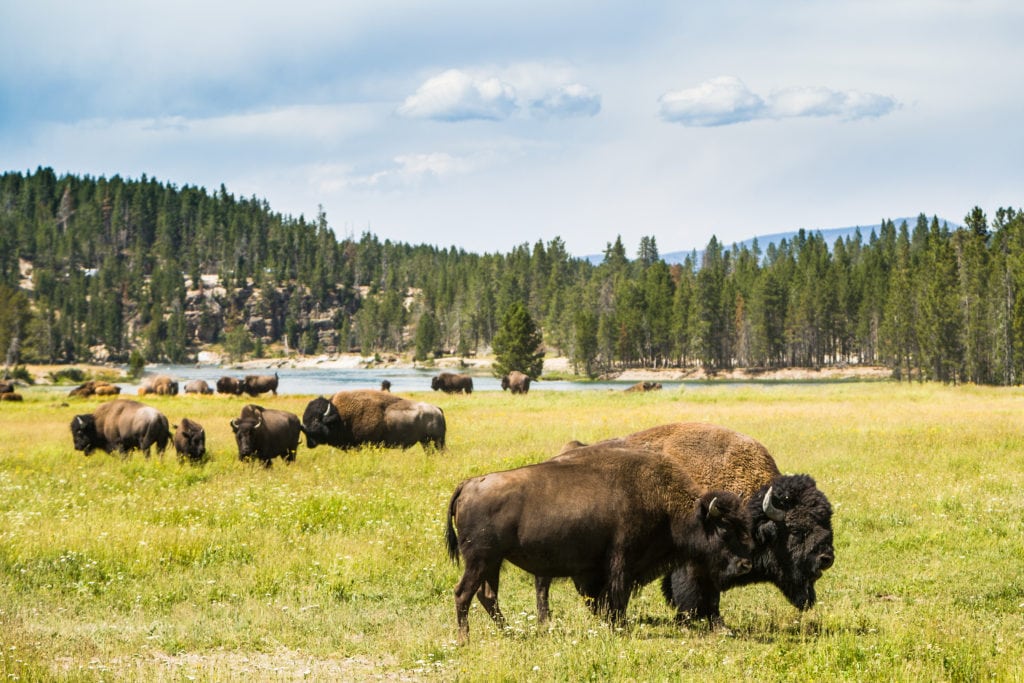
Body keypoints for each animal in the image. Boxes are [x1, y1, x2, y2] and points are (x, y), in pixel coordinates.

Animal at [302, 390, 445, 451]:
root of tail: (437, 409)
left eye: (317, 422)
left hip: (437, 441)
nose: (310, 443)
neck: (340, 416)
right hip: (425, 441)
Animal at [445, 446, 753, 644]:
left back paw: (510, 632)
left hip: (493, 562)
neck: (667, 505)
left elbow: (603, 599)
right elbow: (617, 596)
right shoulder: (622, 562)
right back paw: (465, 639)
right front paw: (621, 627)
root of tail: (469, 484)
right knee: (463, 593)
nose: (745, 564)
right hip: (480, 559)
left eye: (744, 527)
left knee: (487, 595)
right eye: (724, 529)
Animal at [563, 422, 835, 626]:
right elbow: (700, 594)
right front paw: (711, 623)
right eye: (797, 530)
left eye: (827, 522)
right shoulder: (695, 565)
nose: (826, 558)